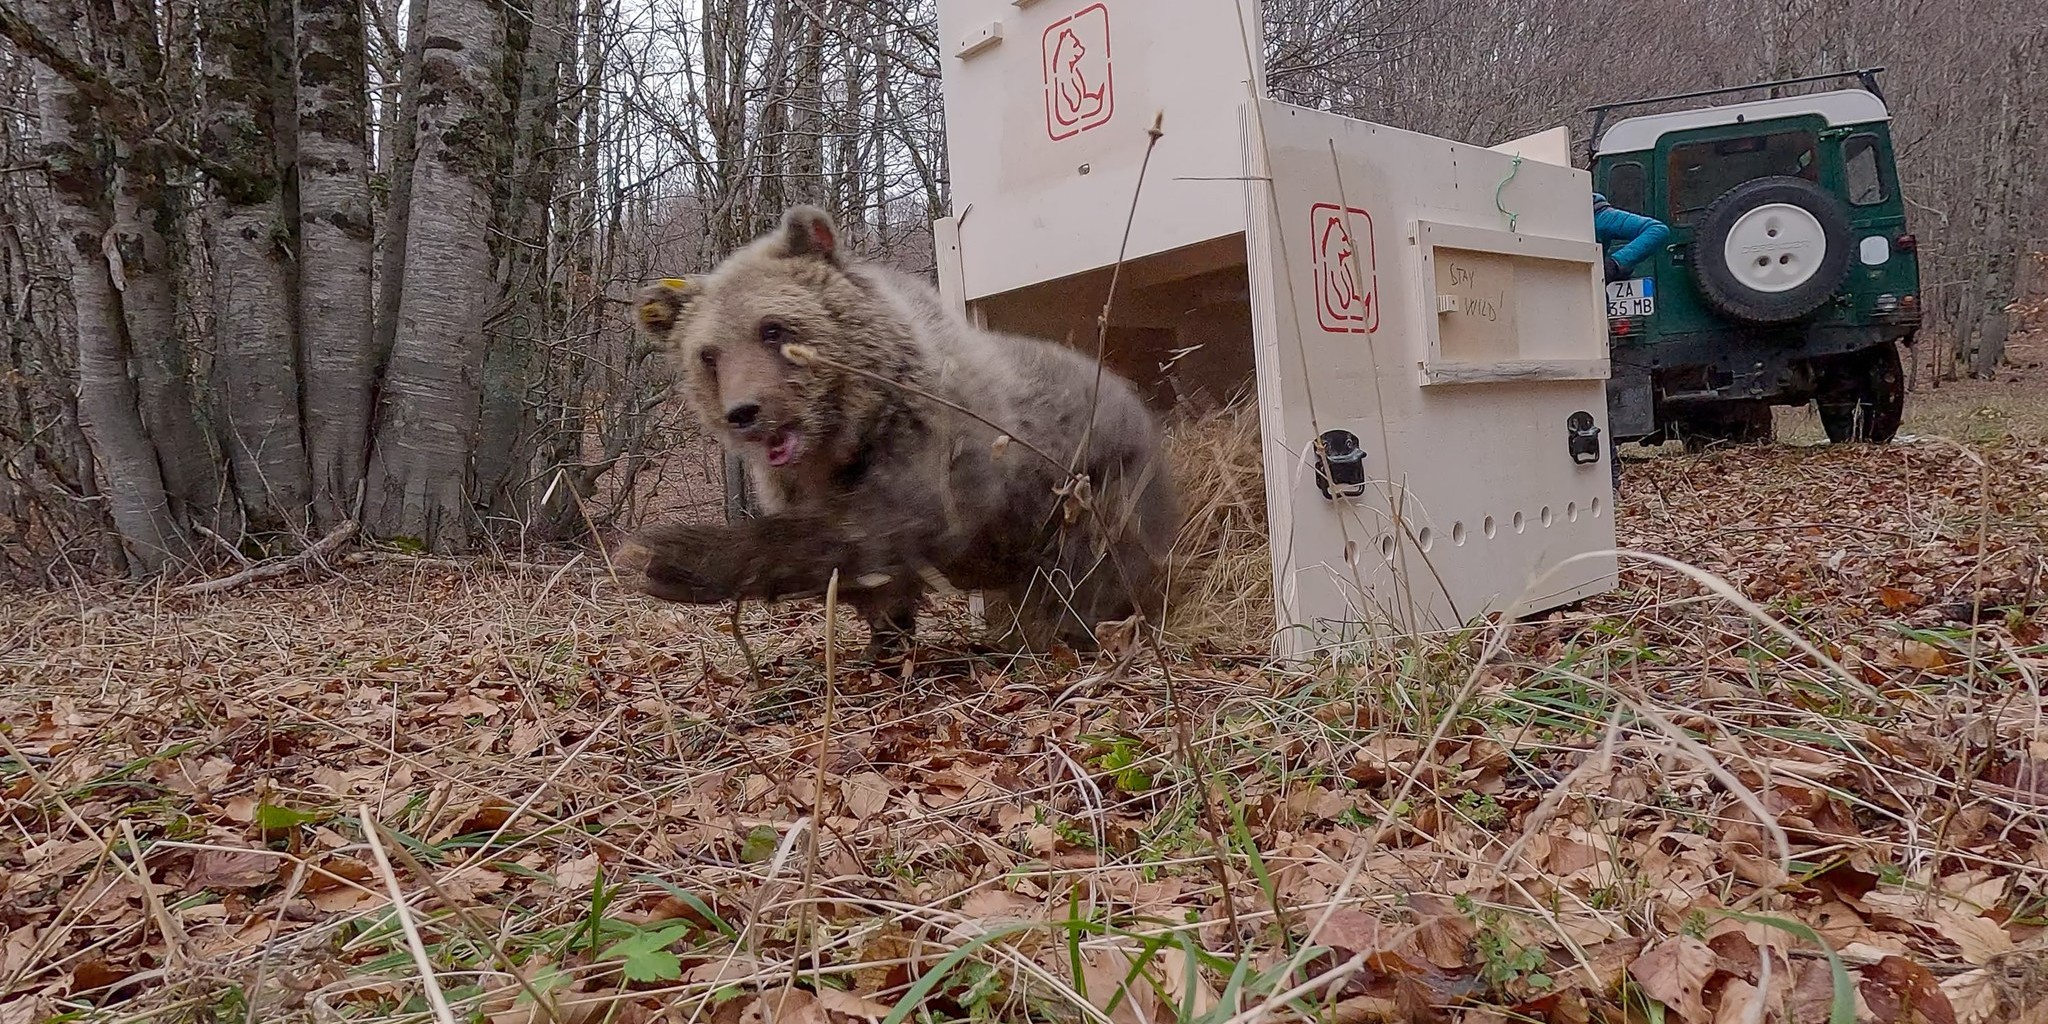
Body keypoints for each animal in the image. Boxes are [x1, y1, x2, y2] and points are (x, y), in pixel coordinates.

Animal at [628, 204, 1180, 661]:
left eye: (773, 328)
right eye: (708, 354)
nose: (744, 411)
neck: (845, 433)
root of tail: (1138, 399)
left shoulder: (935, 449)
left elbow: (875, 528)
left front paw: (666, 555)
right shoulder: (801, 480)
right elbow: (872, 582)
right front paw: (882, 640)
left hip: (1093, 485)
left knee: (1091, 566)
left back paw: (1071, 632)